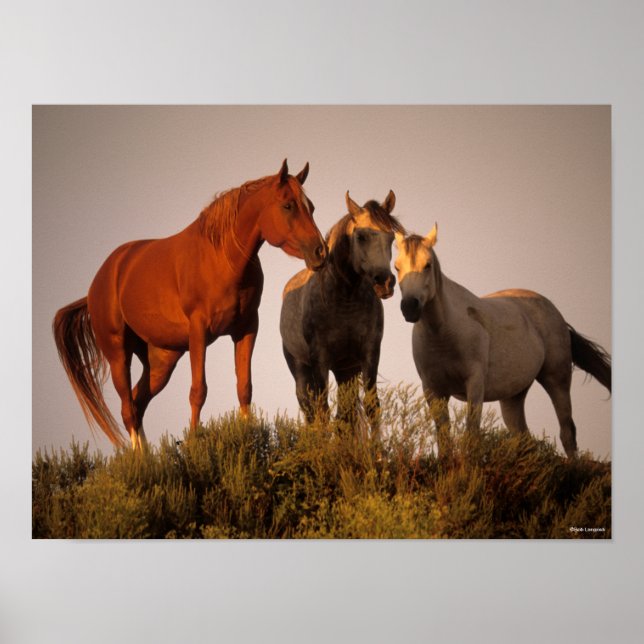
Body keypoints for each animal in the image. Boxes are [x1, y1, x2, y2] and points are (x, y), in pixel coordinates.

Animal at [53, 160, 327, 450]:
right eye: (287, 205)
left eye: (311, 207)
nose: (320, 251)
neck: (223, 258)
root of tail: (99, 282)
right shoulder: (199, 331)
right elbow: (198, 390)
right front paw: (195, 442)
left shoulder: (247, 328)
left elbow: (244, 387)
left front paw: (248, 437)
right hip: (118, 353)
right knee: (128, 408)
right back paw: (138, 458)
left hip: (161, 361)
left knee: (138, 402)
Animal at [280, 190, 404, 427]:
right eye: (361, 236)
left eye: (391, 238)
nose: (385, 282)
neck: (344, 300)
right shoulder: (320, 359)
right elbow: (323, 413)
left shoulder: (369, 352)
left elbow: (371, 407)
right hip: (300, 368)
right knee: (311, 412)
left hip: (345, 371)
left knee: (345, 416)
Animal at [393, 225, 611, 457]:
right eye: (397, 267)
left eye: (427, 264)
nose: (409, 307)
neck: (443, 334)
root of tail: (555, 313)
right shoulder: (433, 390)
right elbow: (444, 438)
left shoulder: (474, 384)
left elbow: (472, 433)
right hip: (513, 397)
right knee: (525, 438)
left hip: (557, 380)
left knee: (567, 432)